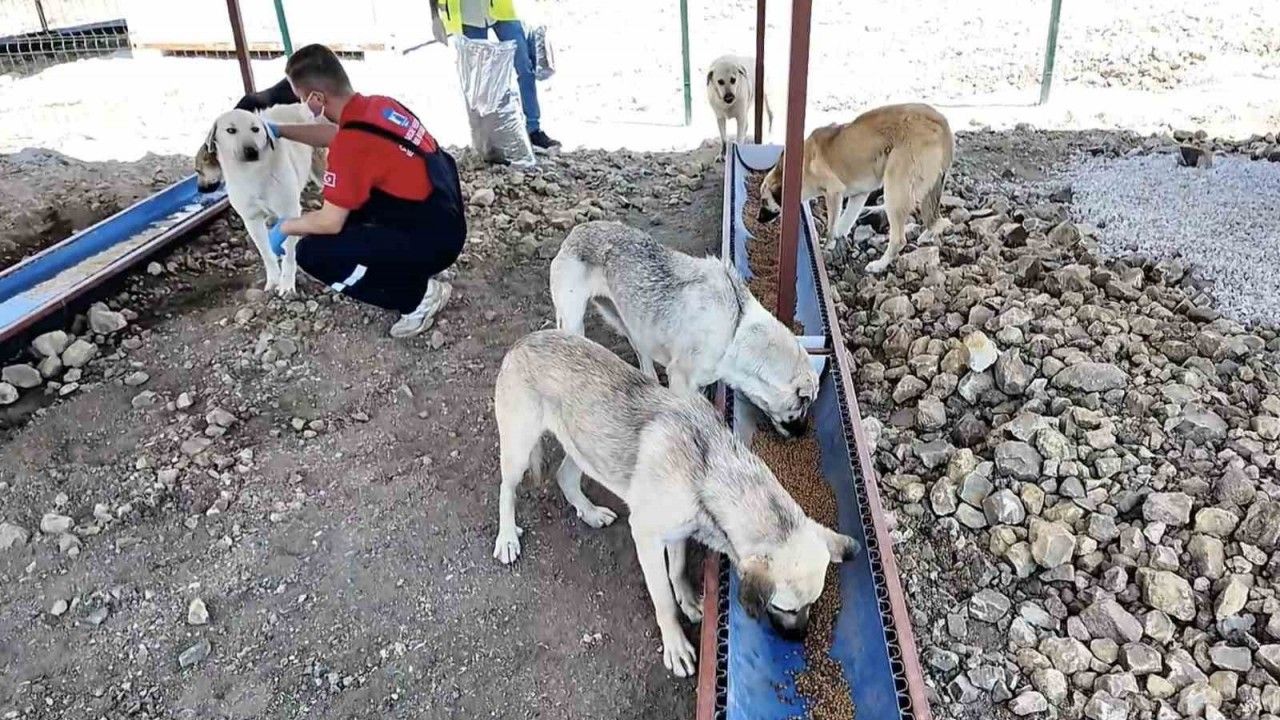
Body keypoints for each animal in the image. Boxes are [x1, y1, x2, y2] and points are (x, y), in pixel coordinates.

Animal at [195, 104, 325, 296]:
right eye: (231, 130)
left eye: (255, 129)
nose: (251, 151)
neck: (251, 173)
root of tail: (302, 104)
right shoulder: (252, 220)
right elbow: (266, 252)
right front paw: (273, 280)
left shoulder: (289, 213)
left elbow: (289, 255)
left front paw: (287, 285)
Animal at [493, 330, 859, 677]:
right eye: (786, 608)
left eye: (812, 604)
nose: (799, 638)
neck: (710, 472)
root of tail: (525, 341)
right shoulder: (646, 536)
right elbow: (663, 598)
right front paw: (676, 644)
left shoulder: (679, 530)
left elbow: (679, 568)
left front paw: (689, 599)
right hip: (518, 448)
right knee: (506, 489)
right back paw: (507, 538)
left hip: (583, 446)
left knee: (565, 477)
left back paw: (590, 512)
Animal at [550, 221, 819, 438]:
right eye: (803, 403)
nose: (802, 434)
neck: (735, 332)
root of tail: (576, 230)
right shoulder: (681, 378)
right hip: (573, 321)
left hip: (625, 319)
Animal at [758, 103, 954, 274]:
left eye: (764, 201)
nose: (758, 219)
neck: (801, 164)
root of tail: (941, 120)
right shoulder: (859, 195)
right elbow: (844, 222)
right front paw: (838, 239)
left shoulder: (834, 192)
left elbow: (832, 226)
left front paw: (827, 245)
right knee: (936, 218)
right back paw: (927, 234)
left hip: (895, 183)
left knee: (898, 238)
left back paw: (879, 265)